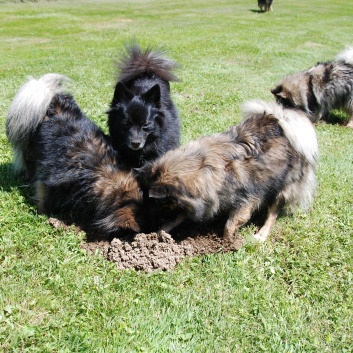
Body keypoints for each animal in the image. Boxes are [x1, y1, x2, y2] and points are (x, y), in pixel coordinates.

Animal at [134, 100, 316, 241]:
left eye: (159, 203)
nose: (149, 223)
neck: (203, 167)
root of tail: (281, 121)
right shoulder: (200, 201)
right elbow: (176, 219)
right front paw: (158, 234)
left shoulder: (246, 200)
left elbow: (230, 223)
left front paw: (227, 243)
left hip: (285, 185)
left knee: (273, 212)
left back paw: (261, 235)